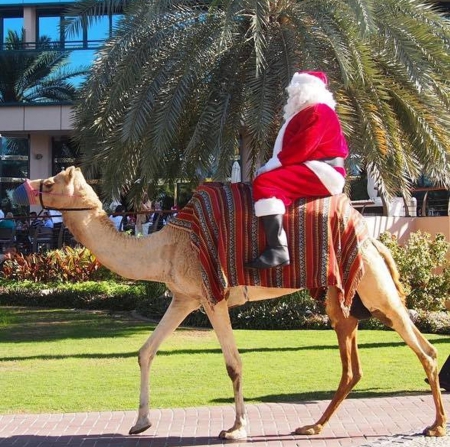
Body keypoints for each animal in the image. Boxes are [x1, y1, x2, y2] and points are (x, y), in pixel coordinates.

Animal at [14, 168, 446, 440]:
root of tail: (374, 241)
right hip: (343, 302)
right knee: (352, 367)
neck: (164, 246)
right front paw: (140, 422)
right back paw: (313, 427)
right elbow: (145, 351)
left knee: (424, 349)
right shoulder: (184, 298)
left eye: (50, 181)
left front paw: (236, 429)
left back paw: (435, 426)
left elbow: (233, 363)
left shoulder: (212, 296)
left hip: (375, 291)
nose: (20, 188)